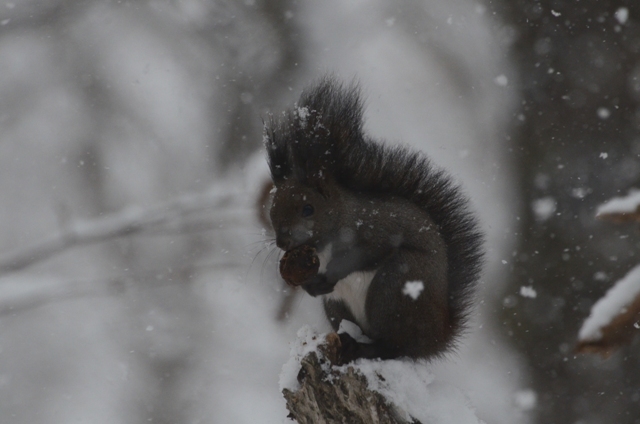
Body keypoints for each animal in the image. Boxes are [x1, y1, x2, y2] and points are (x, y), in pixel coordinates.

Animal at [262, 75, 482, 362]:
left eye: (308, 209)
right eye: (272, 209)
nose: (282, 242)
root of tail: (435, 338)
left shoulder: (378, 230)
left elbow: (365, 254)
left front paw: (331, 275)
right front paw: (311, 286)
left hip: (395, 288)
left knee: (394, 347)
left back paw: (365, 348)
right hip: (336, 305)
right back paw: (348, 342)